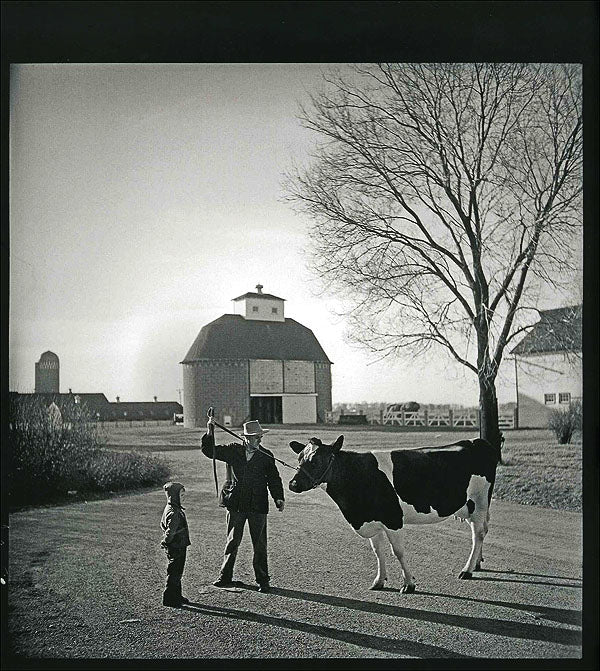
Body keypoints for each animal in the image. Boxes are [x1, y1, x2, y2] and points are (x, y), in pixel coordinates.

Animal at [288, 436, 500, 592]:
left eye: (315, 460)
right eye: (299, 459)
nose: (293, 484)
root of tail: (475, 441)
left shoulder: (393, 519)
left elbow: (398, 551)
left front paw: (409, 584)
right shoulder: (372, 521)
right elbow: (378, 551)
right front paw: (379, 581)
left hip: (480, 501)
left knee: (478, 534)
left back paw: (467, 570)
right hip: (469, 505)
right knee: (482, 530)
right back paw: (476, 564)